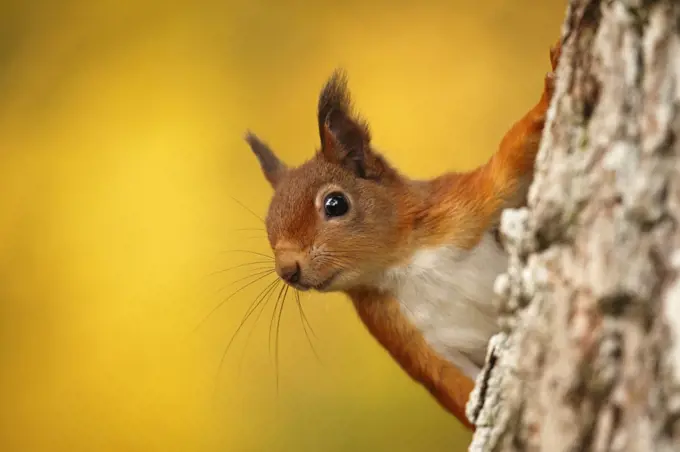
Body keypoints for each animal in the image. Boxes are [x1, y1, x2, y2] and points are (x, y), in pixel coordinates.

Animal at [242, 40, 560, 430]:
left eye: (335, 204)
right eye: (268, 226)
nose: (288, 270)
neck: (402, 263)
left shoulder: (464, 207)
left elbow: (510, 160)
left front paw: (552, 81)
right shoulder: (401, 334)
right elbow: (451, 384)